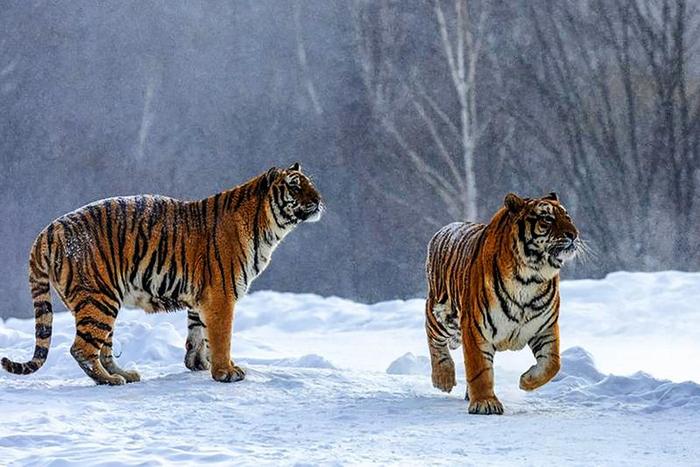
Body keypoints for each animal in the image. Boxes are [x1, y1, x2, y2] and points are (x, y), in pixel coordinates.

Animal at [0, 163, 322, 386]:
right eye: (295, 187)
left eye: (310, 184)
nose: (319, 199)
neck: (269, 228)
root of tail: (47, 231)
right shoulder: (221, 296)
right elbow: (222, 336)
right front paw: (226, 372)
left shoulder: (202, 298)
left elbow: (198, 333)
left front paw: (198, 365)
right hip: (99, 299)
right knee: (81, 348)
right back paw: (110, 380)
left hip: (100, 302)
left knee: (102, 347)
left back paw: (124, 374)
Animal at [426, 192, 580, 414]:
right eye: (547, 219)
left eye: (568, 217)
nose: (574, 235)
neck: (530, 277)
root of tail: (445, 229)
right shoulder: (475, 328)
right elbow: (480, 371)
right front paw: (485, 403)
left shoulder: (545, 327)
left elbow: (552, 363)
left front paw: (526, 381)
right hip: (443, 315)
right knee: (433, 339)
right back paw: (443, 378)